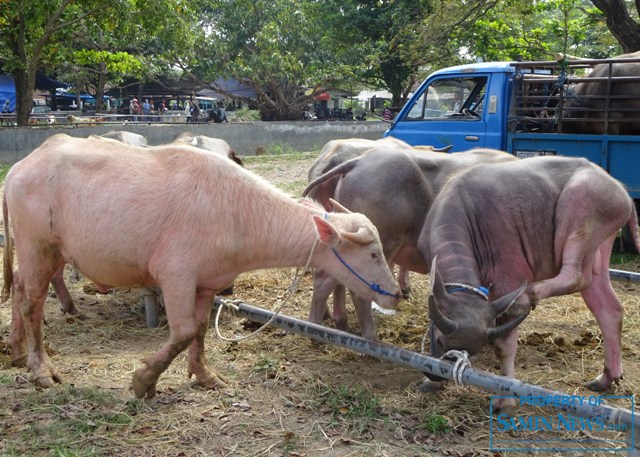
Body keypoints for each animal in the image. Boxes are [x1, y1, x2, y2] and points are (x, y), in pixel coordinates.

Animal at [420, 155, 640, 412]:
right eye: (439, 340)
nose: (435, 375)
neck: (461, 209)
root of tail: (621, 191)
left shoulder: (509, 278)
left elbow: (504, 348)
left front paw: (506, 399)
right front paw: (431, 384)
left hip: (580, 218)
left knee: (577, 276)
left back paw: (526, 296)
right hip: (600, 249)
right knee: (608, 307)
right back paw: (606, 377)